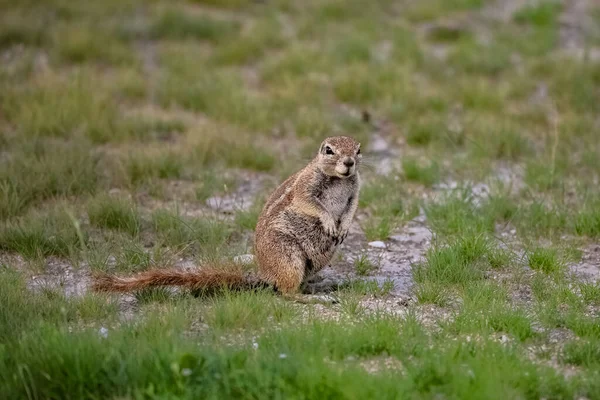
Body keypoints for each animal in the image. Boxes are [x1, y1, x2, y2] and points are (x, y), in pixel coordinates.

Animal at [94, 136, 360, 298]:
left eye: (358, 149)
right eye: (329, 150)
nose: (349, 162)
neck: (339, 179)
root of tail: (265, 275)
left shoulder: (355, 190)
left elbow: (352, 207)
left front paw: (344, 227)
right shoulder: (305, 187)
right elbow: (310, 203)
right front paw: (329, 221)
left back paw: (319, 285)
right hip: (287, 255)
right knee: (285, 293)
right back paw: (313, 298)